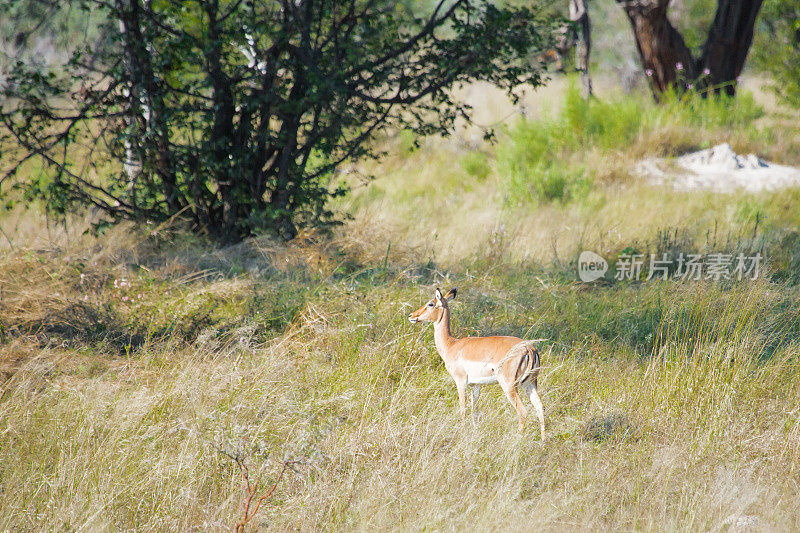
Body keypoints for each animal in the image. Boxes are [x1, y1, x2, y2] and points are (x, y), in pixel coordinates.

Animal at [410, 286, 548, 436]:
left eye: (430, 304)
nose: (411, 315)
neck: (452, 345)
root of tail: (529, 349)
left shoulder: (461, 381)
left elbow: (463, 409)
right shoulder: (475, 385)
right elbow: (474, 411)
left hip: (509, 386)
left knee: (523, 412)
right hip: (530, 384)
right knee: (540, 407)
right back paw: (543, 441)